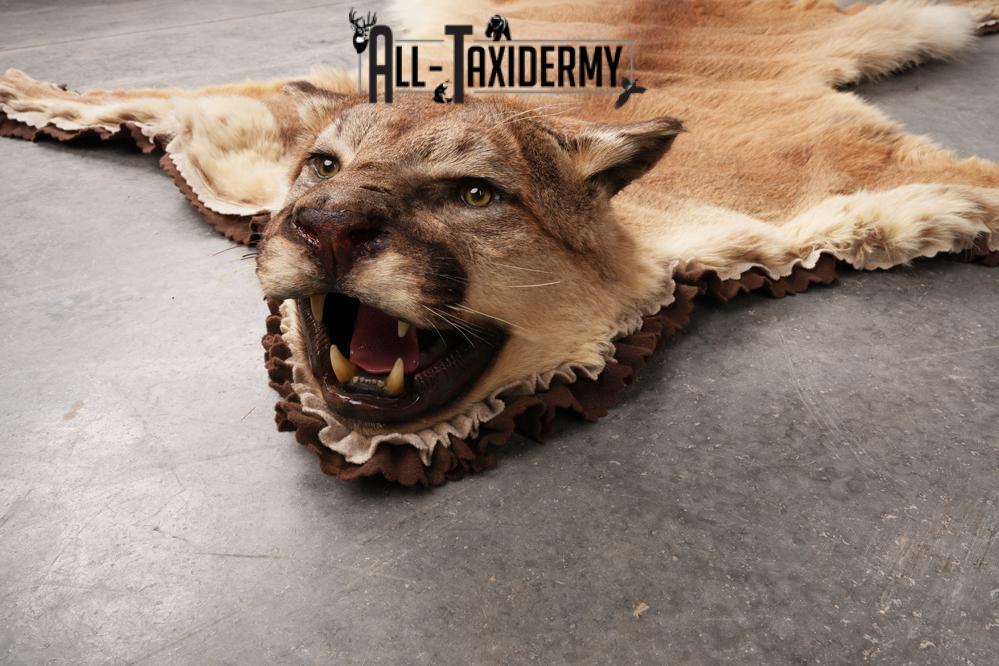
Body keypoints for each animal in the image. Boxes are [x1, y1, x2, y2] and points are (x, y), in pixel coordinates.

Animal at [1, 0, 998, 484]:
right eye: (322, 168)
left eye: (475, 194)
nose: (323, 226)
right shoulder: (245, 127)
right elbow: (149, 96)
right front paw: (22, 88)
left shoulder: (830, 196)